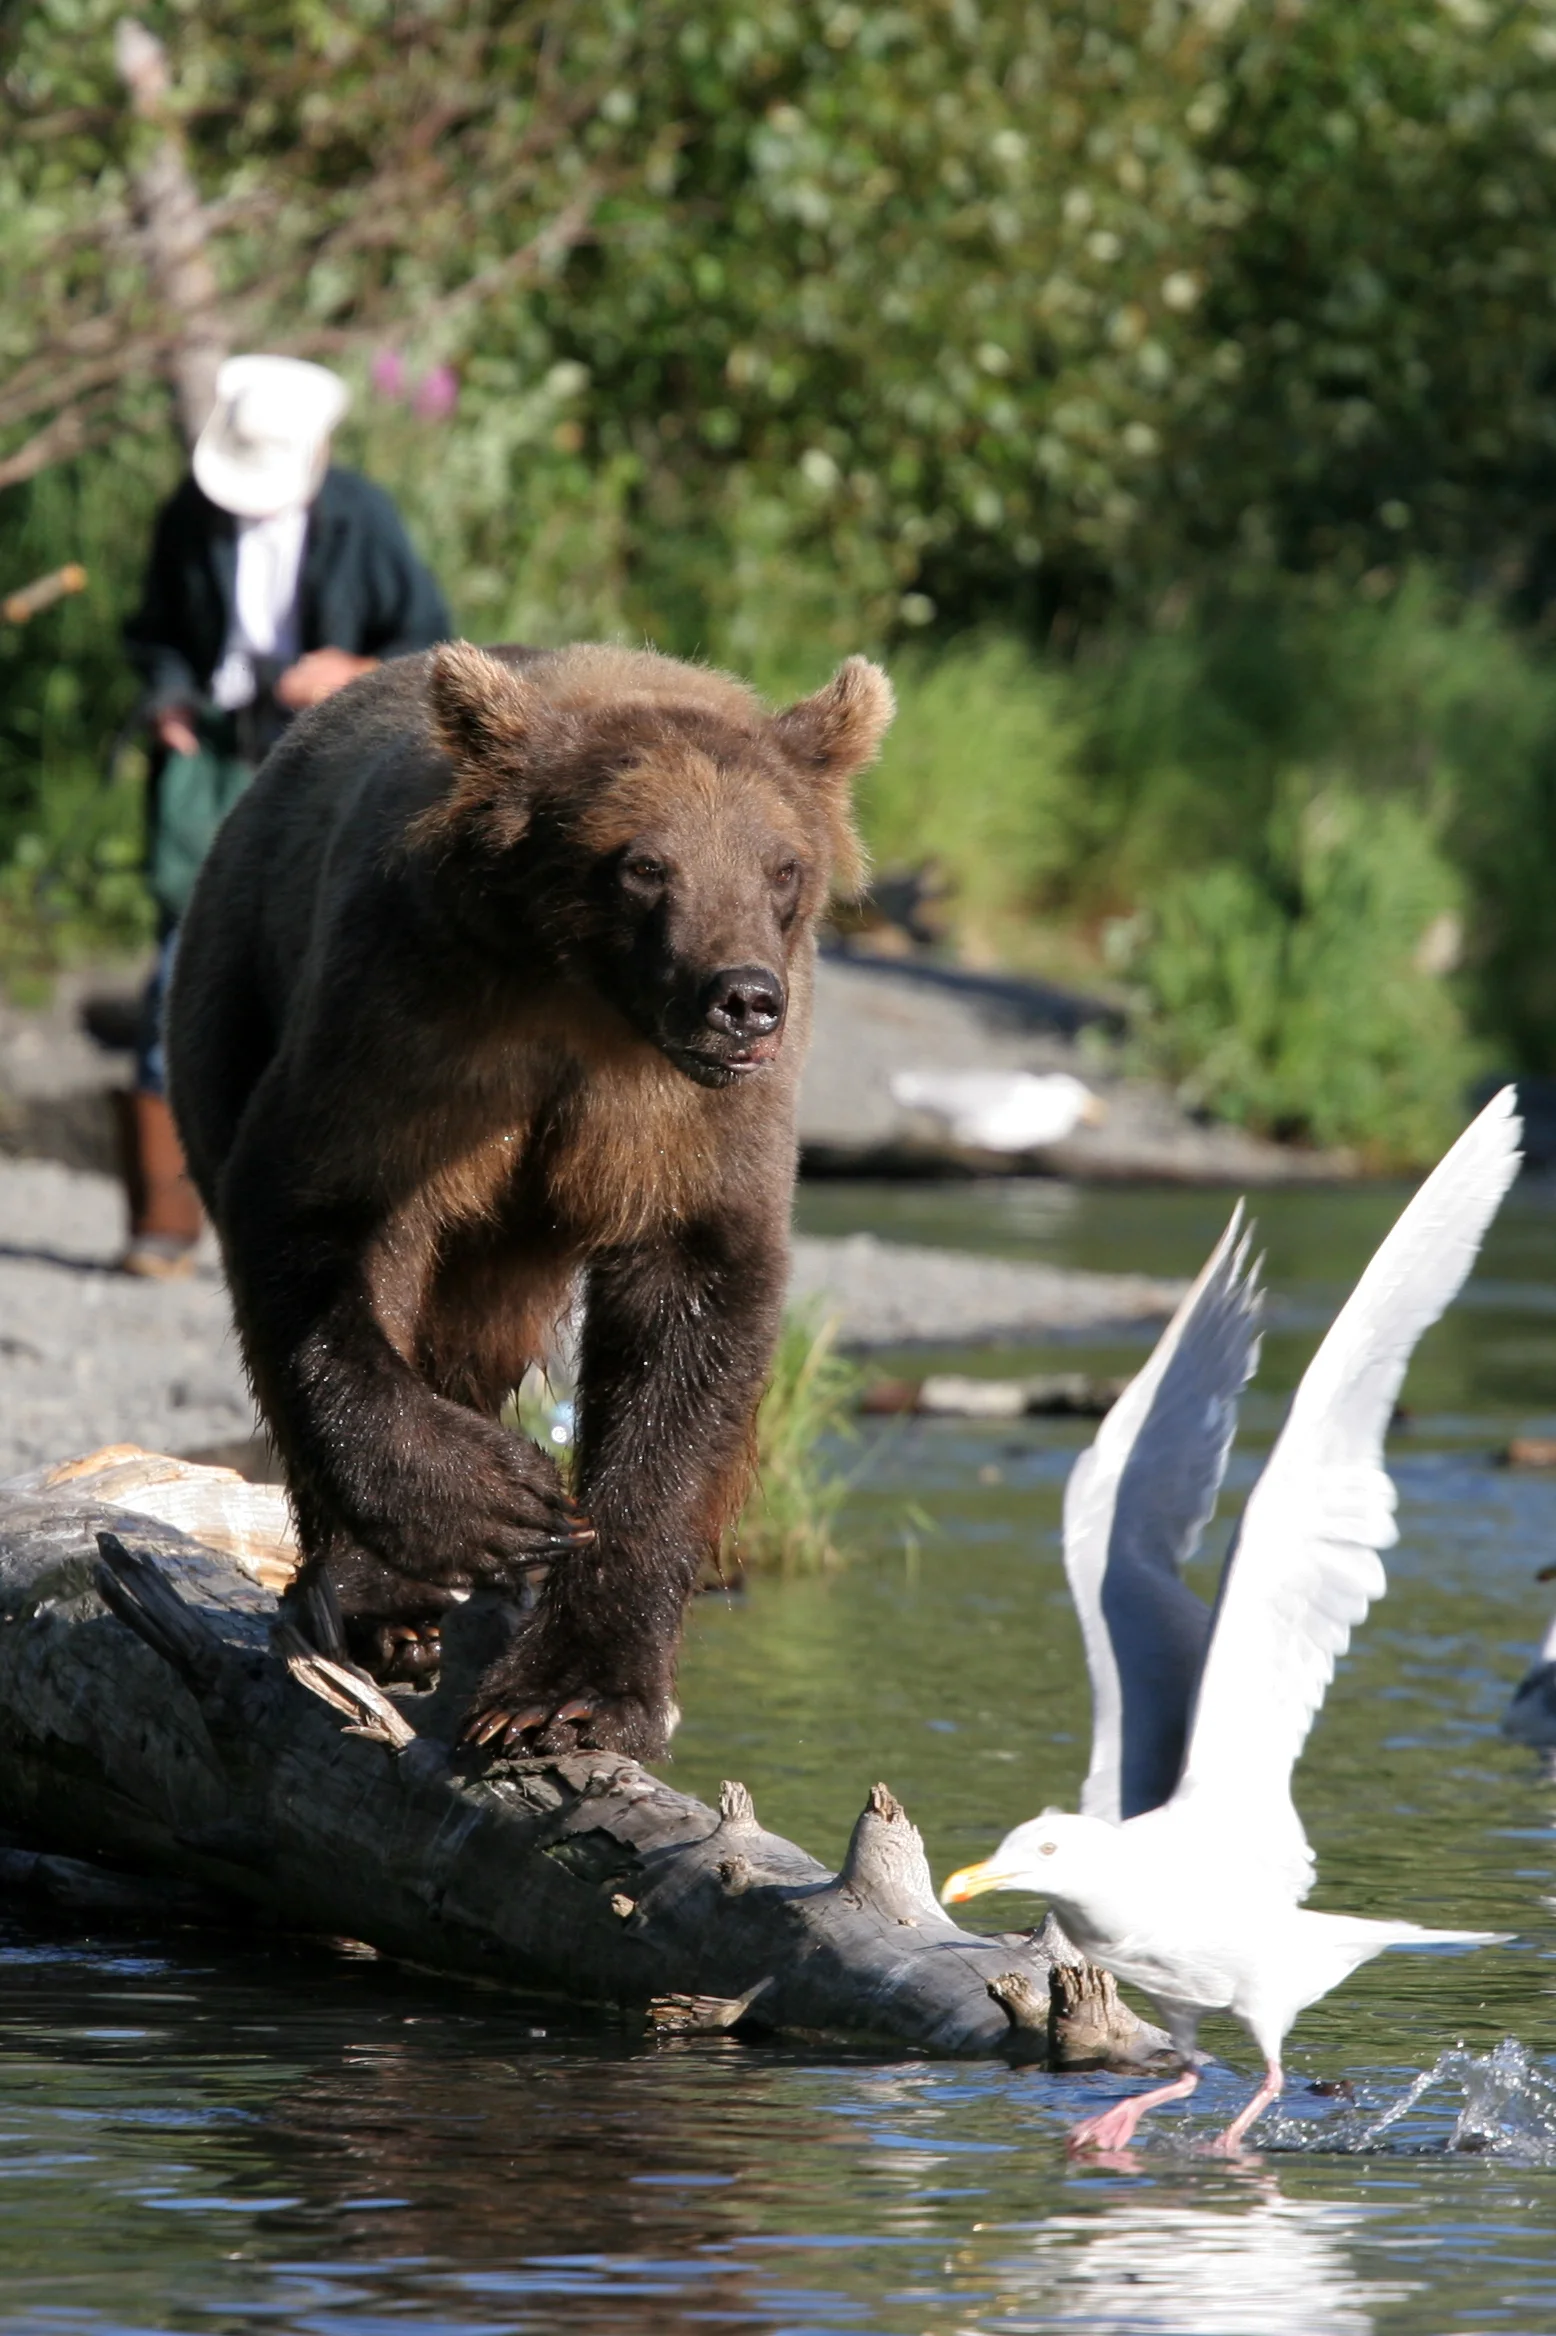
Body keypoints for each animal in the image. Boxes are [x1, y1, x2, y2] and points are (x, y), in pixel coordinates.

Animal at [167, 639, 894, 1758]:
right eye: (644, 862)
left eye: (781, 865)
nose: (741, 997)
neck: (587, 1000)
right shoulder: (411, 1024)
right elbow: (318, 1219)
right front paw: (498, 1502)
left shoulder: (690, 1122)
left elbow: (691, 1312)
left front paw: (573, 1689)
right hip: (232, 987)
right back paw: (377, 1602)